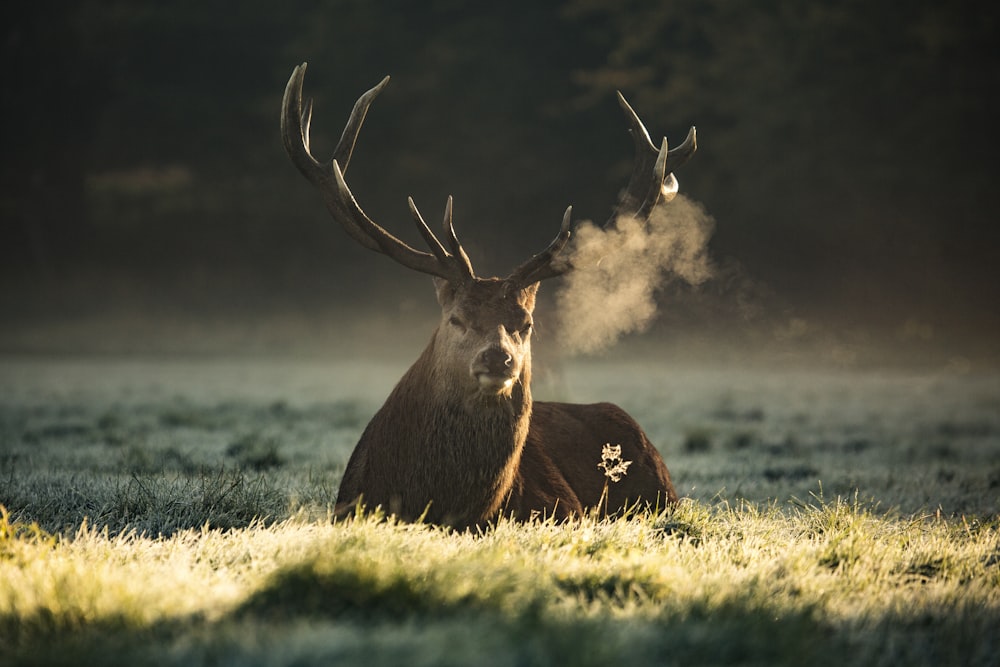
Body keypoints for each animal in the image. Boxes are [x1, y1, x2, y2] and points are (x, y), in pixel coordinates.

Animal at [278, 64, 692, 532]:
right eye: (456, 318)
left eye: (526, 324)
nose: (498, 358)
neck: (451, 507)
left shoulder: (562, 510)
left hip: (663, 497)